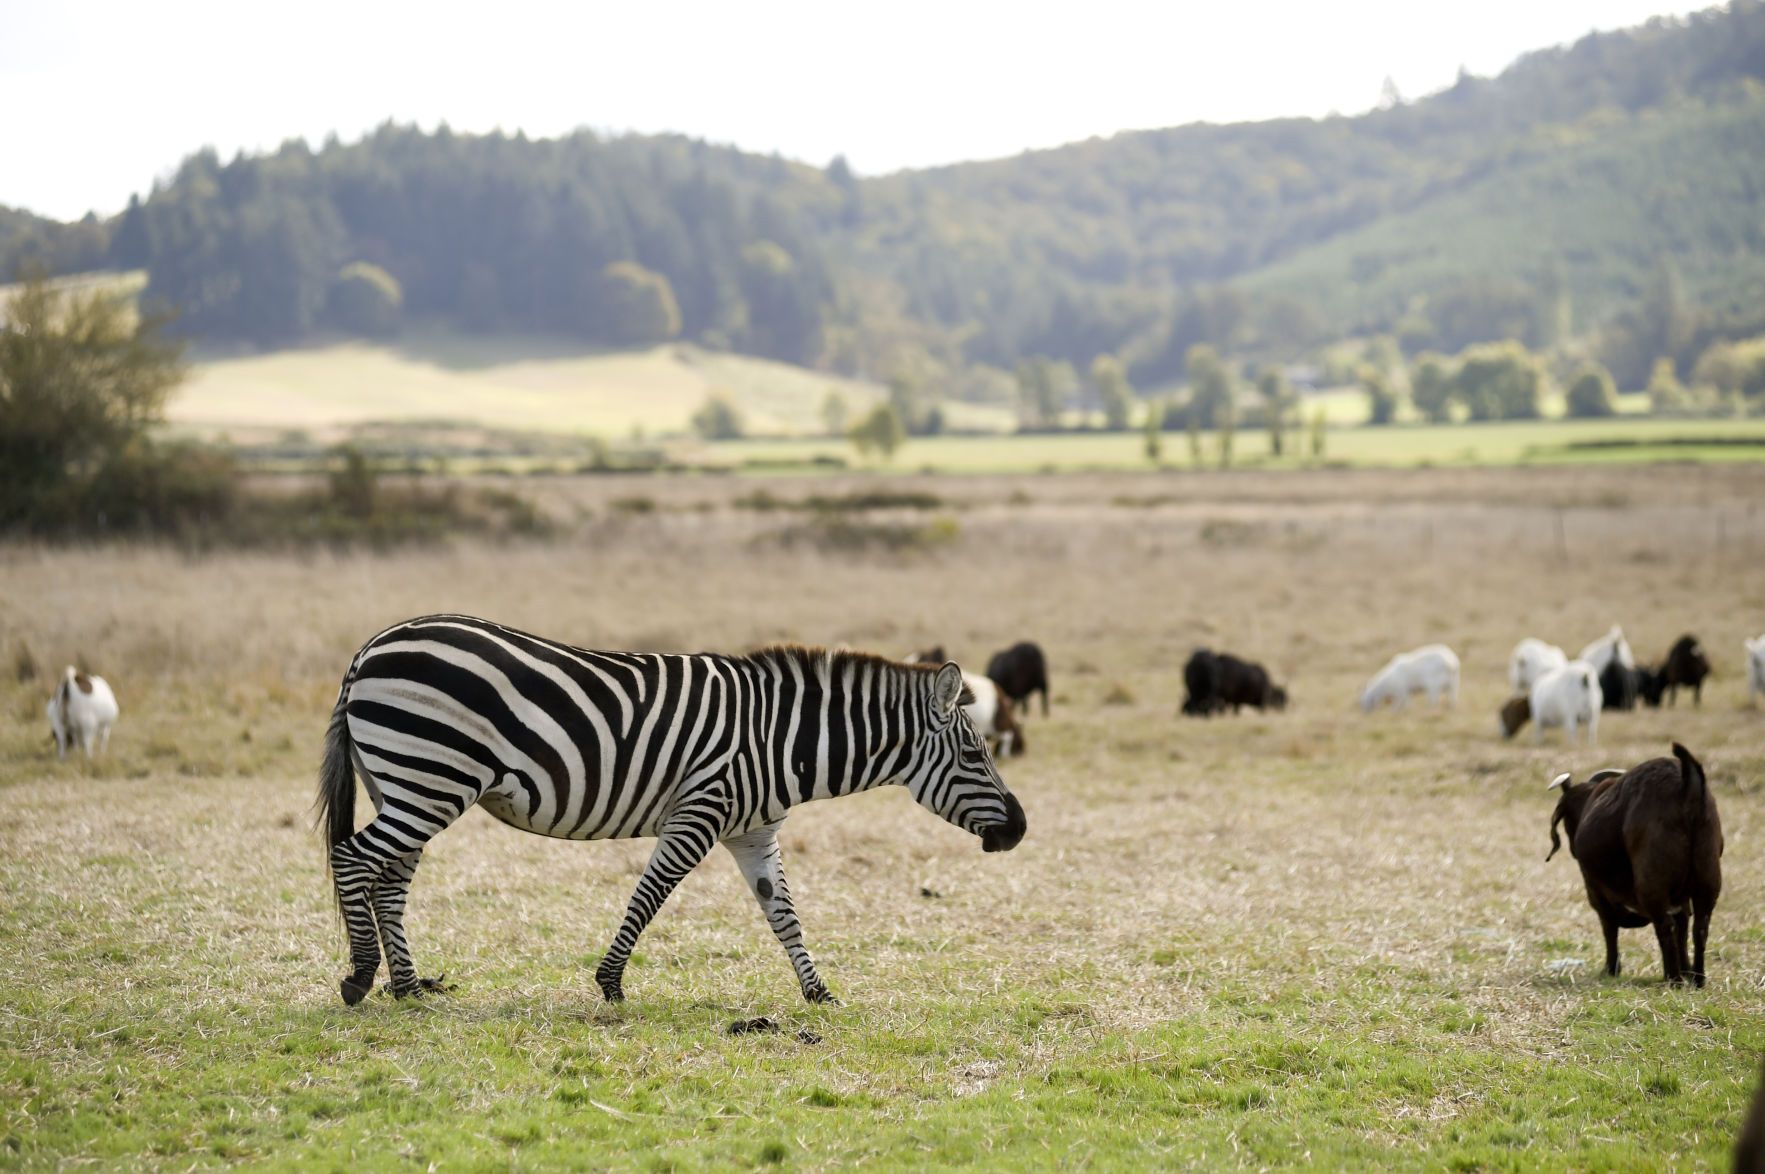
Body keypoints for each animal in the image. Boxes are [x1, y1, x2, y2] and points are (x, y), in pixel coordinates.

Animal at [316, 614, 1027, 1005]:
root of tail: (369, 649)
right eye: (975, 753)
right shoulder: (701, 810)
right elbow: (652, 891)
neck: (780, 740)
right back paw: (360, 977)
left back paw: (409, 986)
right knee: (353, 858)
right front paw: (609, 981)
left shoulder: (754, 832)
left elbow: (784, 915)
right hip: (431, 779)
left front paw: (819, 993)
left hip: (409, 783)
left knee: (389, 879)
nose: (1019, 829)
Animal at [1546, 742, 1722, 986]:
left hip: (1652, 883)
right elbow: (1683, 928)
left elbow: (1609, 928)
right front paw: (1686, 970)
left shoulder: (1596, 892)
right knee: (1699, 928)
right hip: (1708, 880)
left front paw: (1611, 969)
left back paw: (1674, 979)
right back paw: (1697, 979)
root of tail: (1687, 785)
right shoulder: (1682, 899)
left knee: (1665, 926)